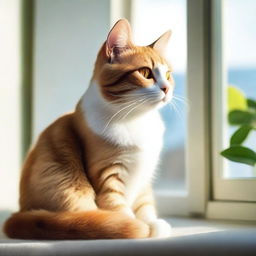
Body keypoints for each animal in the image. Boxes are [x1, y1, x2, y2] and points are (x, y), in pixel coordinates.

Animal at [4, 19, 174, 239]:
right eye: (146, 73)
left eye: (168, 75)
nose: (167, 89)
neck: (136, 119)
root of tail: (19, 215)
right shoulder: (108, 175)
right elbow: (120, 210)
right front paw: (136, 226)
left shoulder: (144, 178)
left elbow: (145, 205)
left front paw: (152, 224)